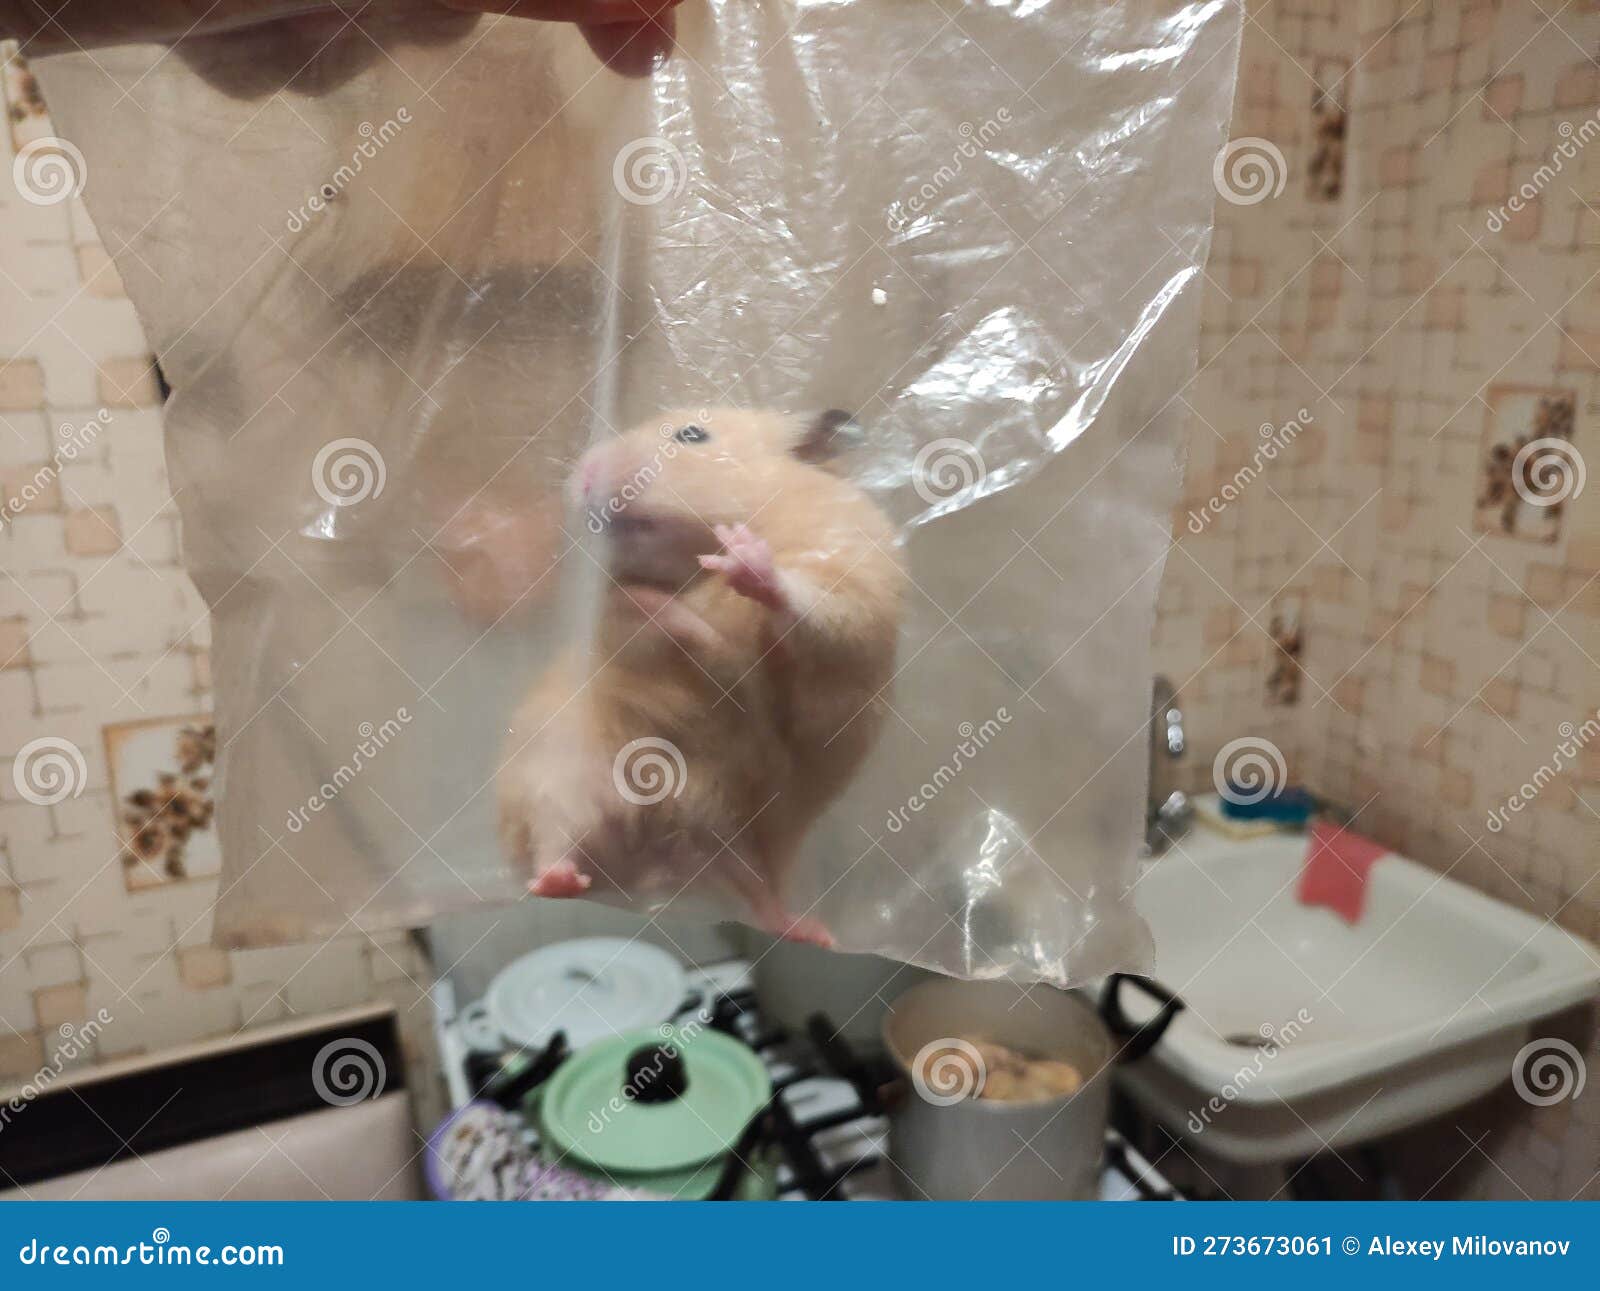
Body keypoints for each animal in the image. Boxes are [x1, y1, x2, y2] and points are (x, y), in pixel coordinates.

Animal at [498, 406, 907, 946]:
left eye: (692, 434)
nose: (583, 475)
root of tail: (646, 867)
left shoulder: (849, 590)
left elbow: (804, 608)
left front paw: (743, 558)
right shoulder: (618, 629)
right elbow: (665, 626)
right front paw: (662, 605)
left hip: (754, 841)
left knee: (761, 896)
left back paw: (812, 932)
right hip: (557, 775)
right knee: (554, 837)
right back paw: (558, 880)